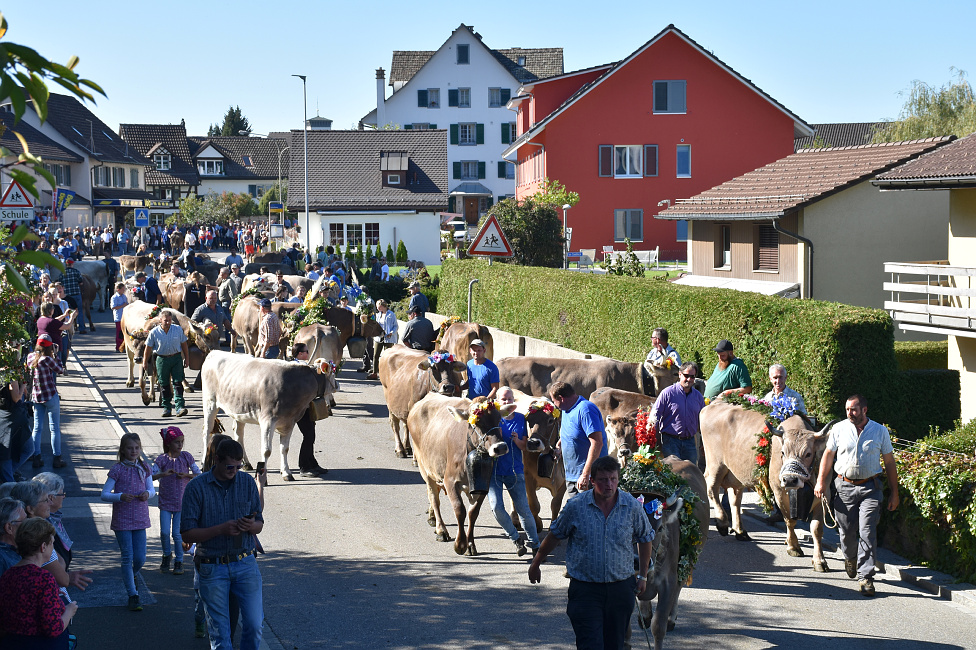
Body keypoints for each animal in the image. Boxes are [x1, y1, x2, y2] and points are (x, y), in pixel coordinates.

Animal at [199, 350, 340, 480]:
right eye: (333, 373)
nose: (338, 385)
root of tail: (214, 352)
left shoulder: (289, 422)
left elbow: (285, 448)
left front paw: (286, 473)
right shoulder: (267, 420)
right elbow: (266, 450)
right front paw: (263, 478)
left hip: (239, 408)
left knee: (238, 434)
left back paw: (246, 463)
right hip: (210, 402)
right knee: (207, 431)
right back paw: (203, 463)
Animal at [406, 392, 516, 556]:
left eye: (499, 420)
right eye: (477, 422)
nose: (501, 447)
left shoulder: (482, 485)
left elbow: (472, 513)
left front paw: (470, 544)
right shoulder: (449, 481)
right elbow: (459, 510)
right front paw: (460, 544)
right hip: (424, 467)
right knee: (434, 497)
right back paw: (441, 529)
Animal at [632, 456, 708, 648]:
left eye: (659, 528)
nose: (639, 561)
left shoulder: (668, 581)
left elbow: (658, 627)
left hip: (688, 559)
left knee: (680, 586)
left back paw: (671, 619)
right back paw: (644, 616)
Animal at [700, 400, 840, 572]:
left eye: (808, 453)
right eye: (782, 452)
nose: (790, 479)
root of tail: (715, 403)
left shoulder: (823, 493)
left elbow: (817, 529)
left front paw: (820, 560)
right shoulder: (779, 490)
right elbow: (789, 520)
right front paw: (793, 546)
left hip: (736, 473)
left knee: (735, 500)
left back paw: (740, 531)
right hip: (716, 465)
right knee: (712, 490)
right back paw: (722, 522)